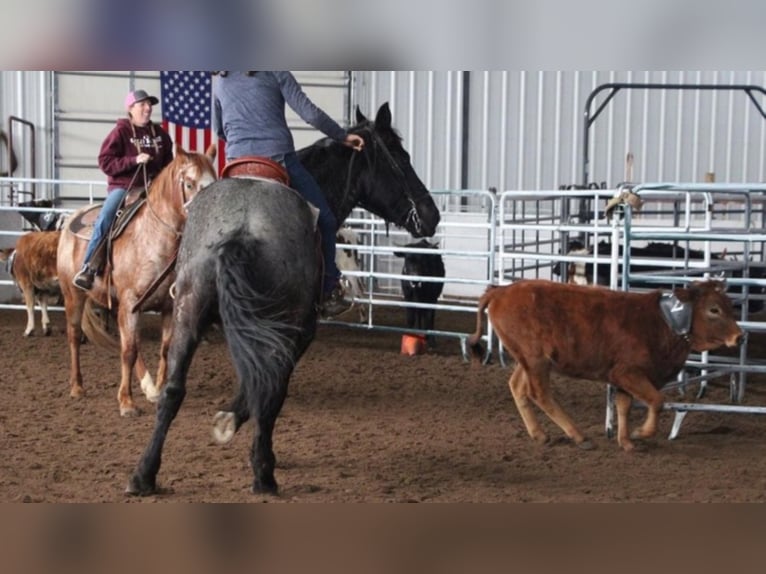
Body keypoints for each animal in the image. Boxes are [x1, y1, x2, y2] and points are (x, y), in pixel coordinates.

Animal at [57, 144, 216, 418]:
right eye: (189, 183)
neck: (154, 237)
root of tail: (70, 220)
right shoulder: (131, 303)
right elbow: (128, 352)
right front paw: (126, 402)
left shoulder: (166, 306)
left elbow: (164, 349)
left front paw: (159, 391)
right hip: (73, 295)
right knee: (75, 335)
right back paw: (77, 387)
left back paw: (148, 386)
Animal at [125, 101, 438, 498]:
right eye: (400, 156)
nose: (431, 214)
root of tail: (240, 230)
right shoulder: (299, 331)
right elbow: (268, 387)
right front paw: (234, 426)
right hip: (280, 324)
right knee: (270, 391)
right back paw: (264, 474)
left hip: (187, 314)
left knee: (172, 390)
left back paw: (143, 475)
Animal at [468, 282, 744, 452]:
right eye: (714, 309)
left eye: (731, 306)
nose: (740, 337)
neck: (664, 322)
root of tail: (500, 291)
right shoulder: (628, 372)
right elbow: (656, 400)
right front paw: (641, 433)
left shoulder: (623, 377)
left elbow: (623, 405)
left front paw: (626, 441)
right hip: (535, 359)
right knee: (539, 393)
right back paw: (579, 436)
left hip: (528, 359)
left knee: (517, 386)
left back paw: (539, 434)